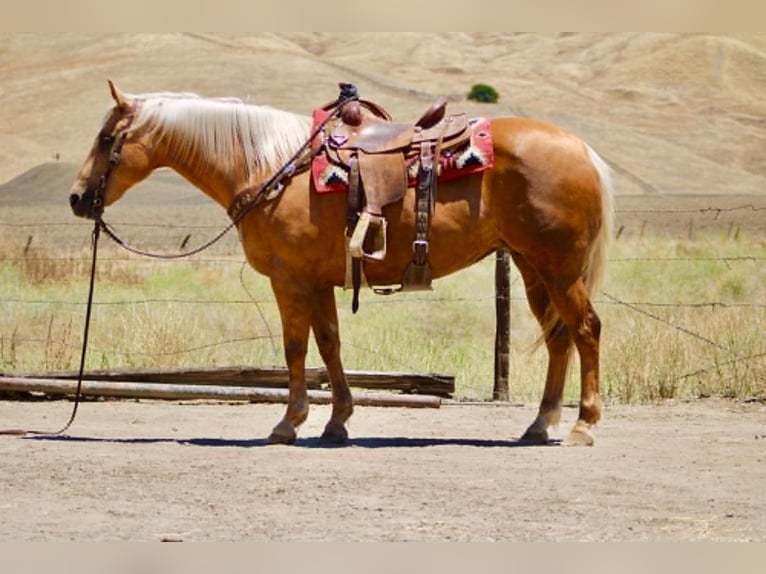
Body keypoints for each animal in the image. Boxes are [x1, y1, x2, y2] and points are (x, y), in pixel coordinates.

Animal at [69, 81, 614, 446]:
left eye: (105, 138)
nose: (77, 198)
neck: (270, 167)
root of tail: (583, 150)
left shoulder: (290, 279)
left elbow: (295, 349)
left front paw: (288, 424)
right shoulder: (318, 281)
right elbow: (329, 344)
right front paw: (337, 422)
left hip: (558, 267)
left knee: (586, 329)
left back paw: (583, 425)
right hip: (532, 266)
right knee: (560, 337)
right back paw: (539, 424)